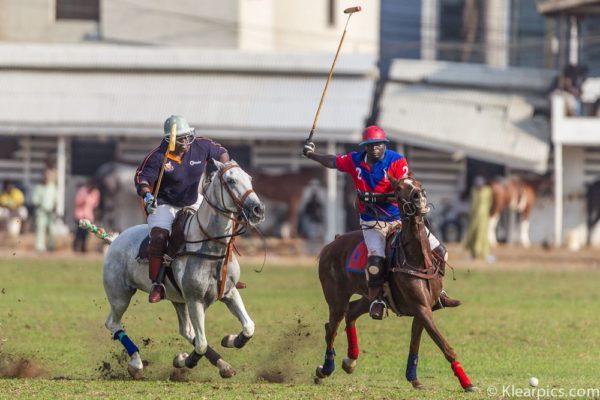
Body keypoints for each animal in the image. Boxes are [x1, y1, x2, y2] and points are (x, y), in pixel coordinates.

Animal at [101, 159, 264, 378]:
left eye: (250, 178)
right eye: (230, 181)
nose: (258, 210)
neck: (211, 246)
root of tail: (114, 239)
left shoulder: (229, 293)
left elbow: (248, 327)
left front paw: (230, 340)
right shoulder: (195, 299)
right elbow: (201, 344)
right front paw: (186, 360)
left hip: (178, 300)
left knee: (186, 330)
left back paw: (223, 365)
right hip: (120, 295)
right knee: (113, 323)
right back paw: (136, 362)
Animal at [314, 177, 478, 392]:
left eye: (418, 184)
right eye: (398, 189)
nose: (418, 196)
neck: (417, 260)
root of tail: (332, 243)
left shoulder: (424, 309)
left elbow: (415, 344)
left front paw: (414, 378)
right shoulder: (421, 308)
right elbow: (446, 347)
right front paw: (467, 383)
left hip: (368, 297)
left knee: (351, 313)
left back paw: (350, 360)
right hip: (336, 300)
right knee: (331, 329)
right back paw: (325, 369)